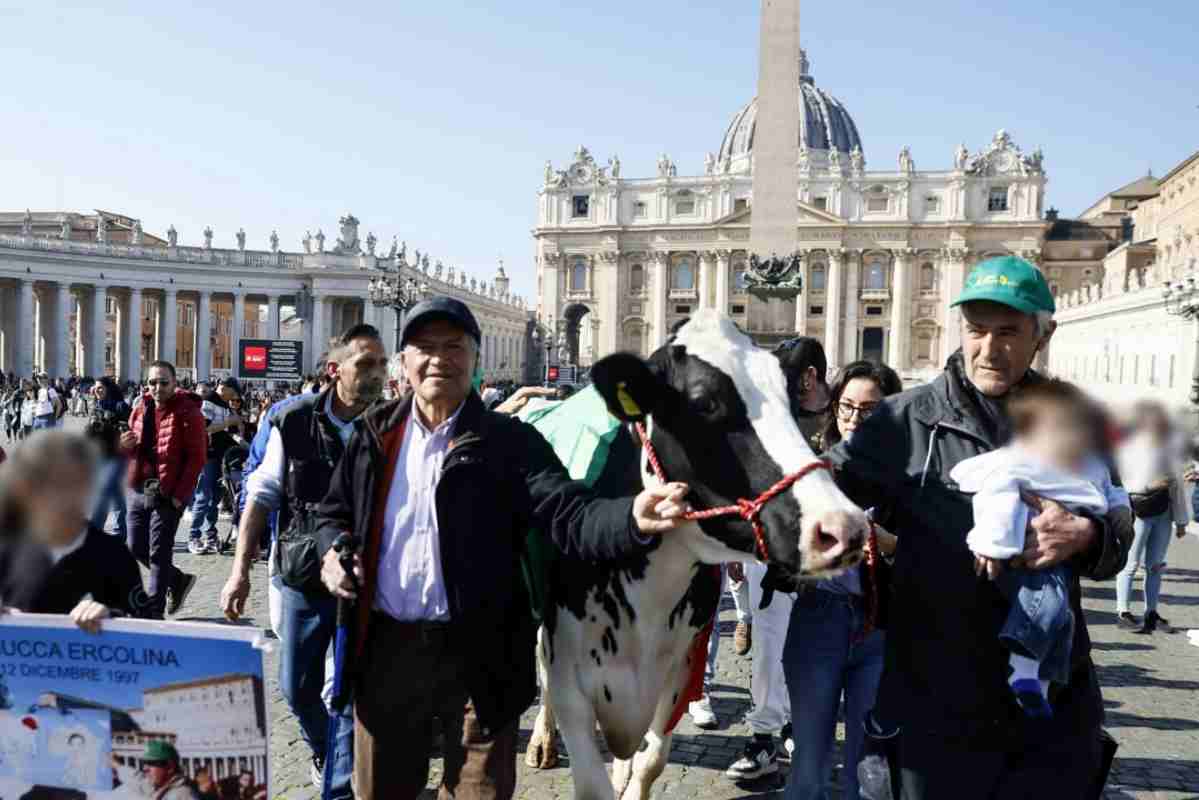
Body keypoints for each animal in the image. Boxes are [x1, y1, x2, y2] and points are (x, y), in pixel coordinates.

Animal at [529, 311, 868, 800]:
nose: (843, 527)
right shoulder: (570, 680)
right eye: (705, 402)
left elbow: (650, 762)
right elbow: (592, 778)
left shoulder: (677, 669)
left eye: (790, 401)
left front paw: (630, 774)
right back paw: (541, 739)